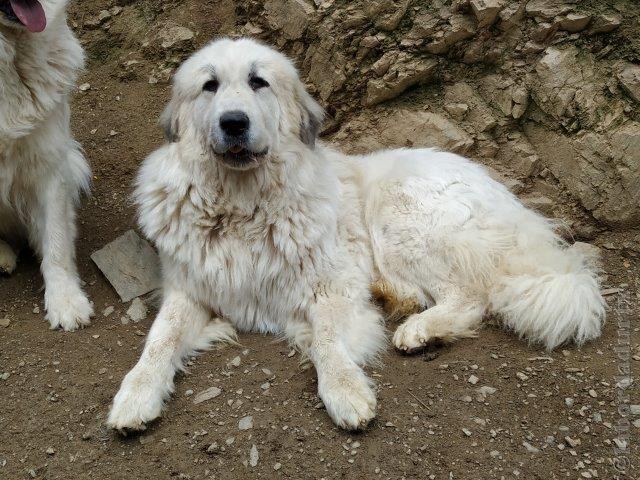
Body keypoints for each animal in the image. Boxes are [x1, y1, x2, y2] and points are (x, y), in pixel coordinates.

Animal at [107, 38, 604, 432]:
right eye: (209, 85)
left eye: (258, 82)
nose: (233, 122)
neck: (243, 205)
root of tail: (513, 203)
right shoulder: (189, 290)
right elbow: (159, 340)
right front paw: (135, 395)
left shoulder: (333, 284)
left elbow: (327, 341)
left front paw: (345, 392)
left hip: (398, 216)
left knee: (470, 296)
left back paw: (419, 329)